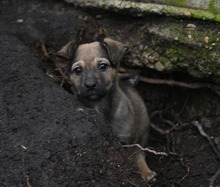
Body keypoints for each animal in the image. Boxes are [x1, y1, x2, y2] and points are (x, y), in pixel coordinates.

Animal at [57, 37, 156, 182]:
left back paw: (146, 172)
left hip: (143, 131)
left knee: (140, 153)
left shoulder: (125, 141)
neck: (99, 104)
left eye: (102, 66)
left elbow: (134, 156)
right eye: (78, 70)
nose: (90, 85)